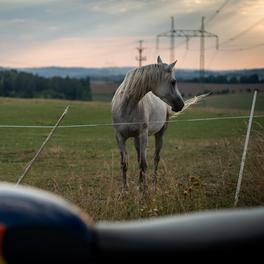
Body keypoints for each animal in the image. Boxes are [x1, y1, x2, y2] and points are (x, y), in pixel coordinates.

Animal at [111, 56, 184, 191]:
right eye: (173, 82)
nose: (181, 104)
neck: (127, 105)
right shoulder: (120, 137)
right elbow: (124, 164)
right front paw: (125, 192)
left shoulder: (143, 135)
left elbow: (143, 164)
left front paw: (144, 192)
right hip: (136, 139)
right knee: (140, 157)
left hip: (159, 134)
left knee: (156, 159)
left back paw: (154, 186)